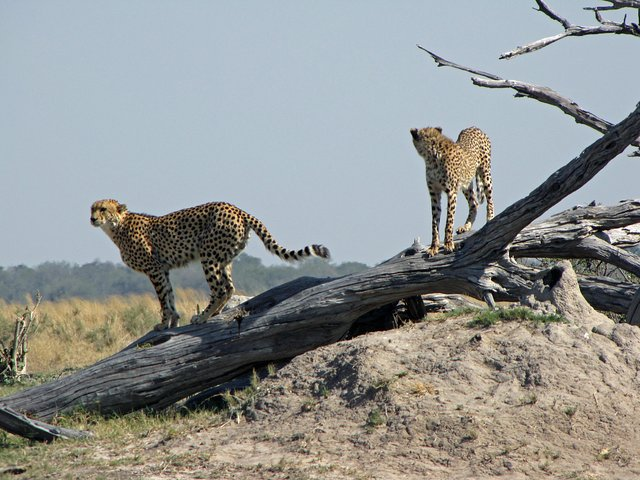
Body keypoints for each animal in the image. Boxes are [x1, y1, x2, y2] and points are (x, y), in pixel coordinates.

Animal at [90, 199, 330, 330]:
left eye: (103, 209)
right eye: (92, 208)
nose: (92, 219)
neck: (116, 227)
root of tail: (238, 209)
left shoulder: (154, 269)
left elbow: (163, 300)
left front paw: (164, 323)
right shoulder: (162, 269)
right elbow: (169, 296)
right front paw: (173, 322)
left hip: (208, 255)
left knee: (219, 289)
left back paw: (203, 316)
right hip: (224, 258)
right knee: (230, 287)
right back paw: (215, 313)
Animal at [410, 125, 496, 256]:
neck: (431, 158)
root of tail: (474, 127)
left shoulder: (451, 192)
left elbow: (449, 221)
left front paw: (448, 244)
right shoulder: (434, 193)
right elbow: (434, 223)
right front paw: (434, 247)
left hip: (485, 172)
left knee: (490, 198)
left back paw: (490, 218)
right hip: (466, 184)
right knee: (474, 203)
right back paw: (466, 227)